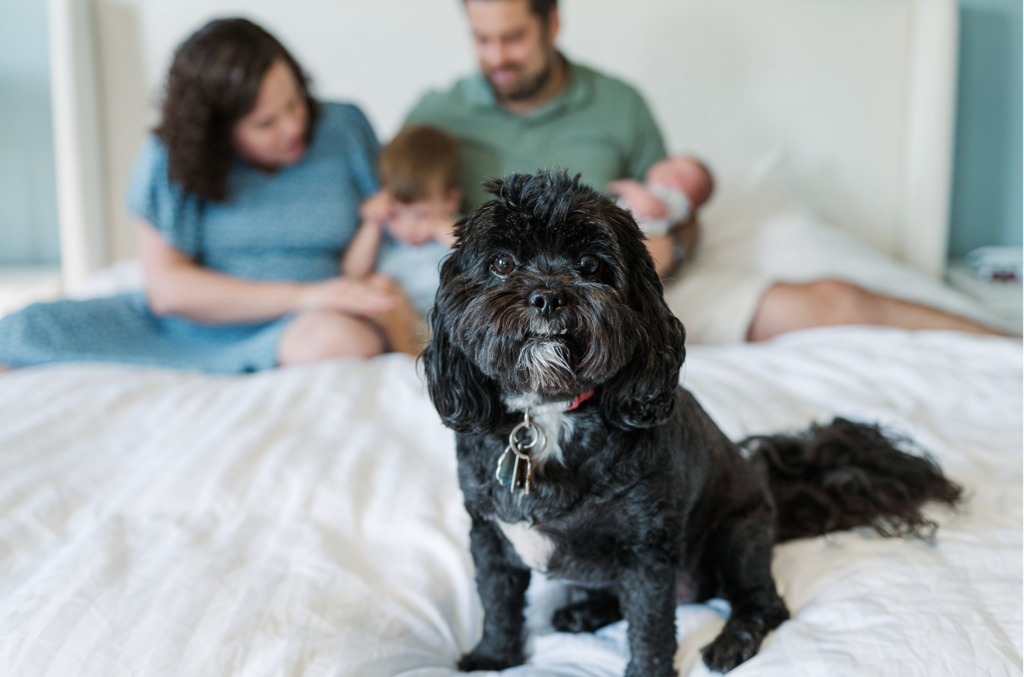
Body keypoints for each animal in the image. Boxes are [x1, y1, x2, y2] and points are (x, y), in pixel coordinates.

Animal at [419, 170, 962, 675]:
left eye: (590, 265)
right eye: (502, 264)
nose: (549, 297)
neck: (551, 412)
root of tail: (769, 493)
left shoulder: (649, 549)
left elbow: (650, 626)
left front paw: (648, 672)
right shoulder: (488, 533)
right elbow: (498, 603)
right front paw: (493, 657)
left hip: (737, 535)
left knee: (764, 602)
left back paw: (732, 641)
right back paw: (585, 612)